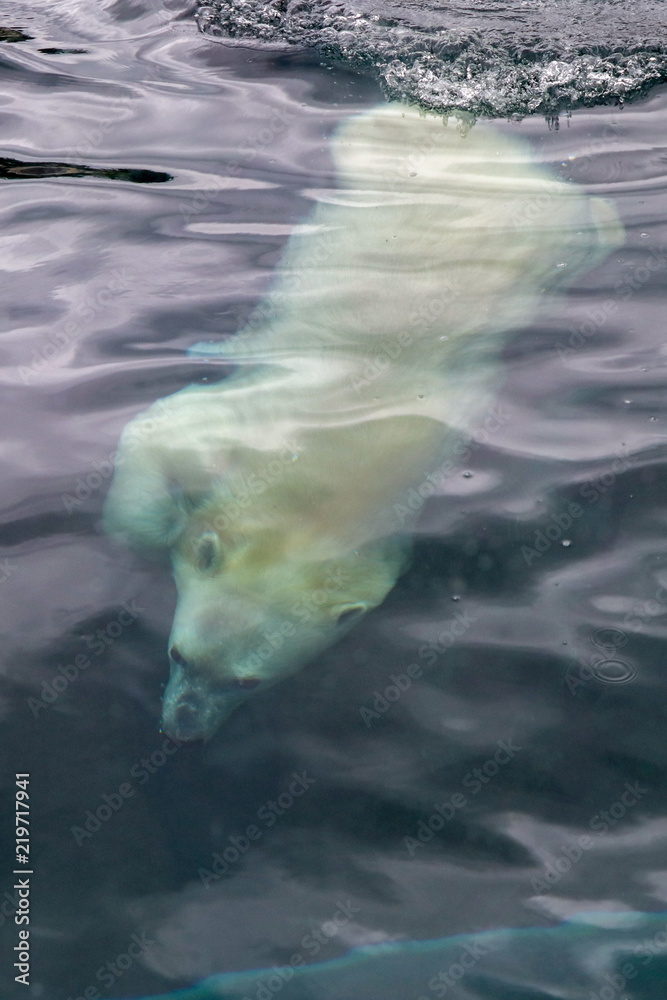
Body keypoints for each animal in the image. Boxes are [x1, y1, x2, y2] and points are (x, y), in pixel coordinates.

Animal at [104, 103, 623, 741]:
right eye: (180, 655)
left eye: (247, 682)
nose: (183, 729)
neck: (321, 475)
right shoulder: (247, 420)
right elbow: (159, 429)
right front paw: (165, 527)